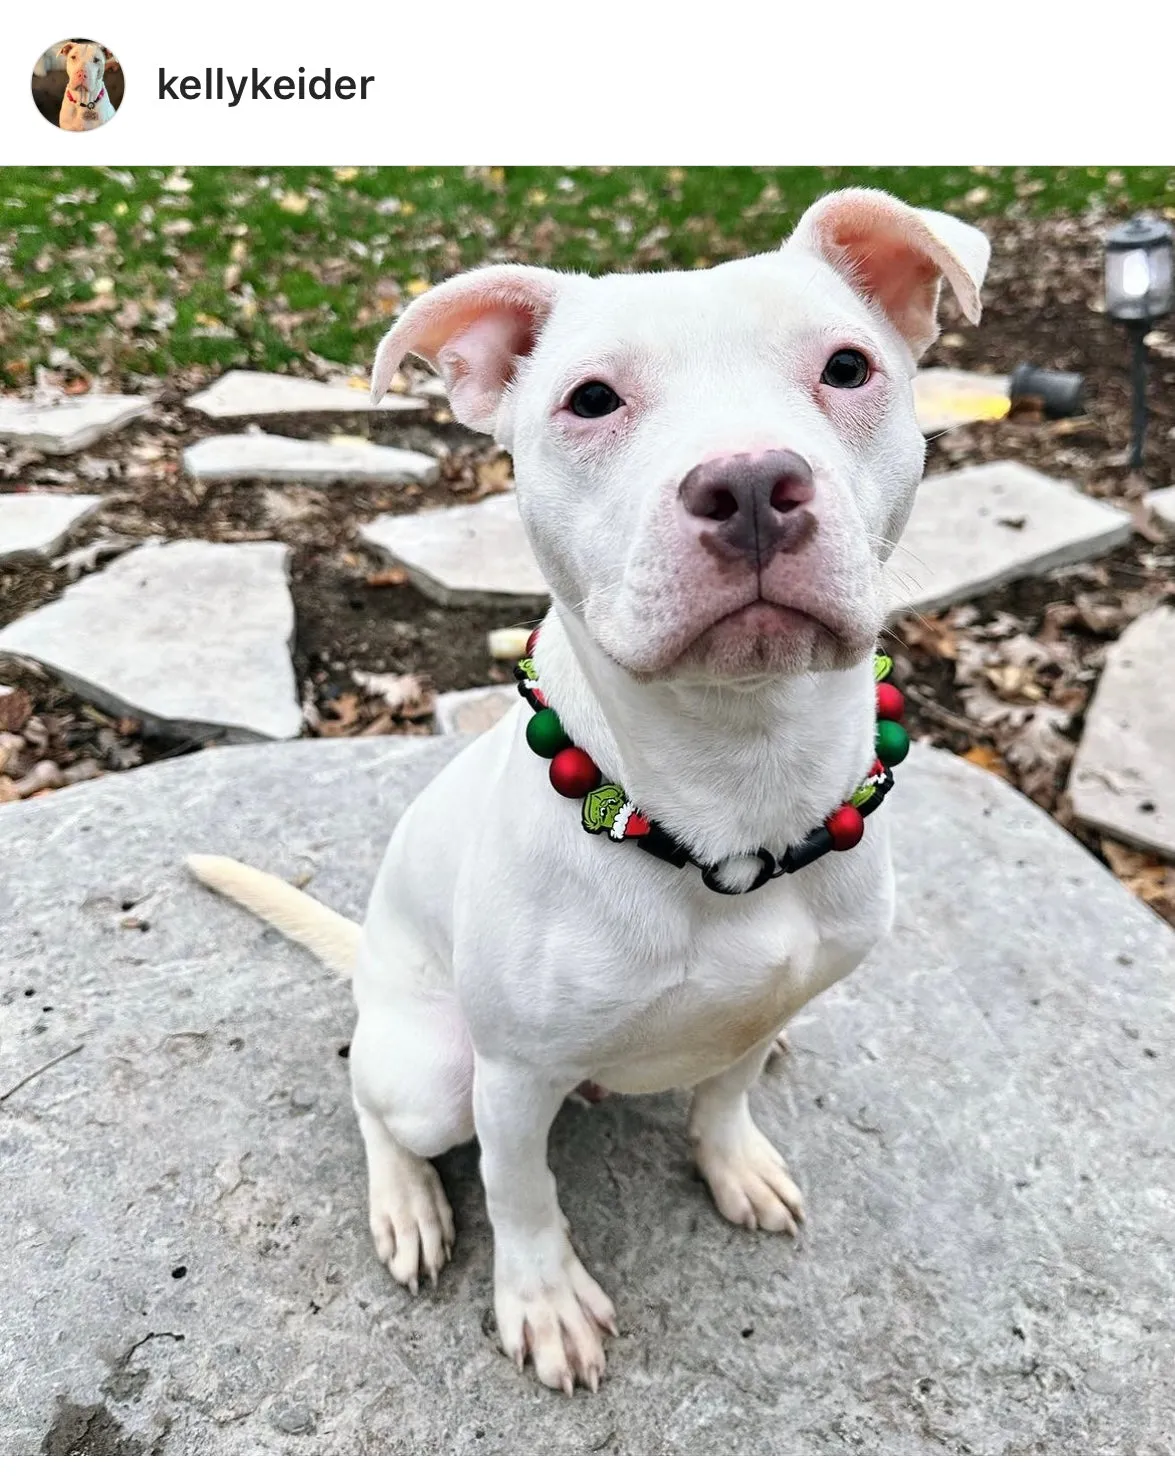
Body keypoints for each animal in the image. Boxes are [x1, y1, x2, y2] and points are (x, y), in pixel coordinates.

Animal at [190, 187, 980, 1393]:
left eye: (847, 367)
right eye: (591, 399)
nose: (750, 484)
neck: (736, 777)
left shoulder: (763, 1004)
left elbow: (726, 1089)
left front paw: (734, 1157)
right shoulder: (512, 1081)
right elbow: (521, 1191)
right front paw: (543, 1298)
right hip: (431, 1068)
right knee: (375, 1108)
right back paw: (405, 1204)